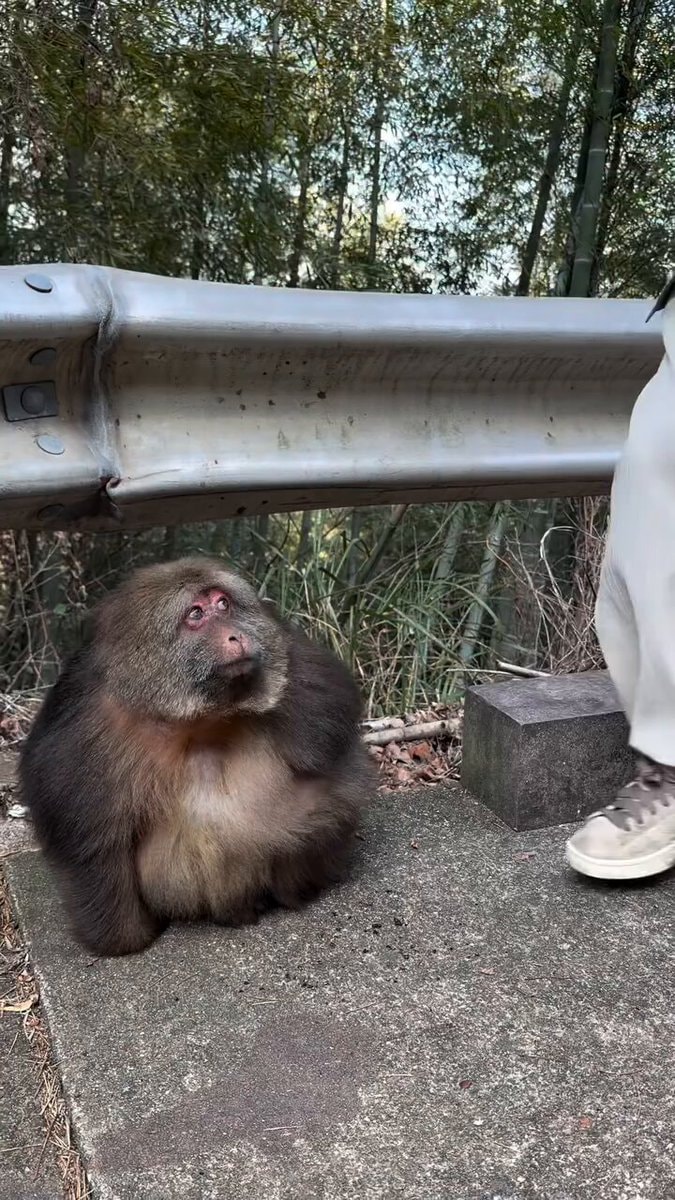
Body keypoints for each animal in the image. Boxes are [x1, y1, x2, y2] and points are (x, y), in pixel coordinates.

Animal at [18, 556, 374, 957]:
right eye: (196, 614)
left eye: (224, 604)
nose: (237, 635)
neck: (199, 716)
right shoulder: (82, 720)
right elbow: (86, 836)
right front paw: (123, 939)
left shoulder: (287, 646)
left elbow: (327, 728)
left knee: (335, 789)